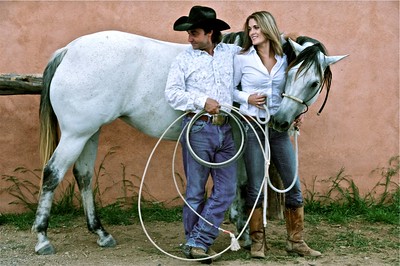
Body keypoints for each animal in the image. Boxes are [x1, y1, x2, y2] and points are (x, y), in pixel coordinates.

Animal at [32, 30, 346, 255]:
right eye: (291, 75)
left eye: (313, 82)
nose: (281, 122)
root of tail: (68, 51)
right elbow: (241, 186)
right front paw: (244, 235)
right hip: (75, 135)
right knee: (52, 174)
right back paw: (42, 239)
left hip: (89, 132)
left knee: (83, 176)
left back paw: (101, 233)